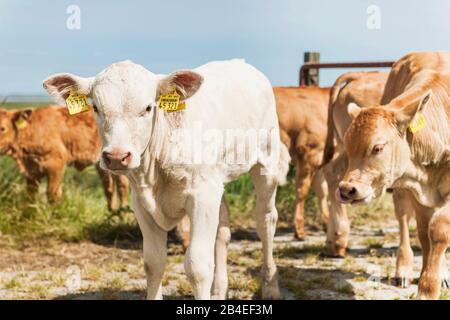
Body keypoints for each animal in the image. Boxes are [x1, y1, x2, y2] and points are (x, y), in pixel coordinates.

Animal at [340, 51, 450, 298]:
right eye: (347, 148)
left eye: (377, 147)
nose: (346, 189)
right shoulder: (418, 192)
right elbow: (424, 234)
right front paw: (426, 283)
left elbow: (439, 231)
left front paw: (430, 286)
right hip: (400, 188)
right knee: (403, 220)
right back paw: (404, 270)